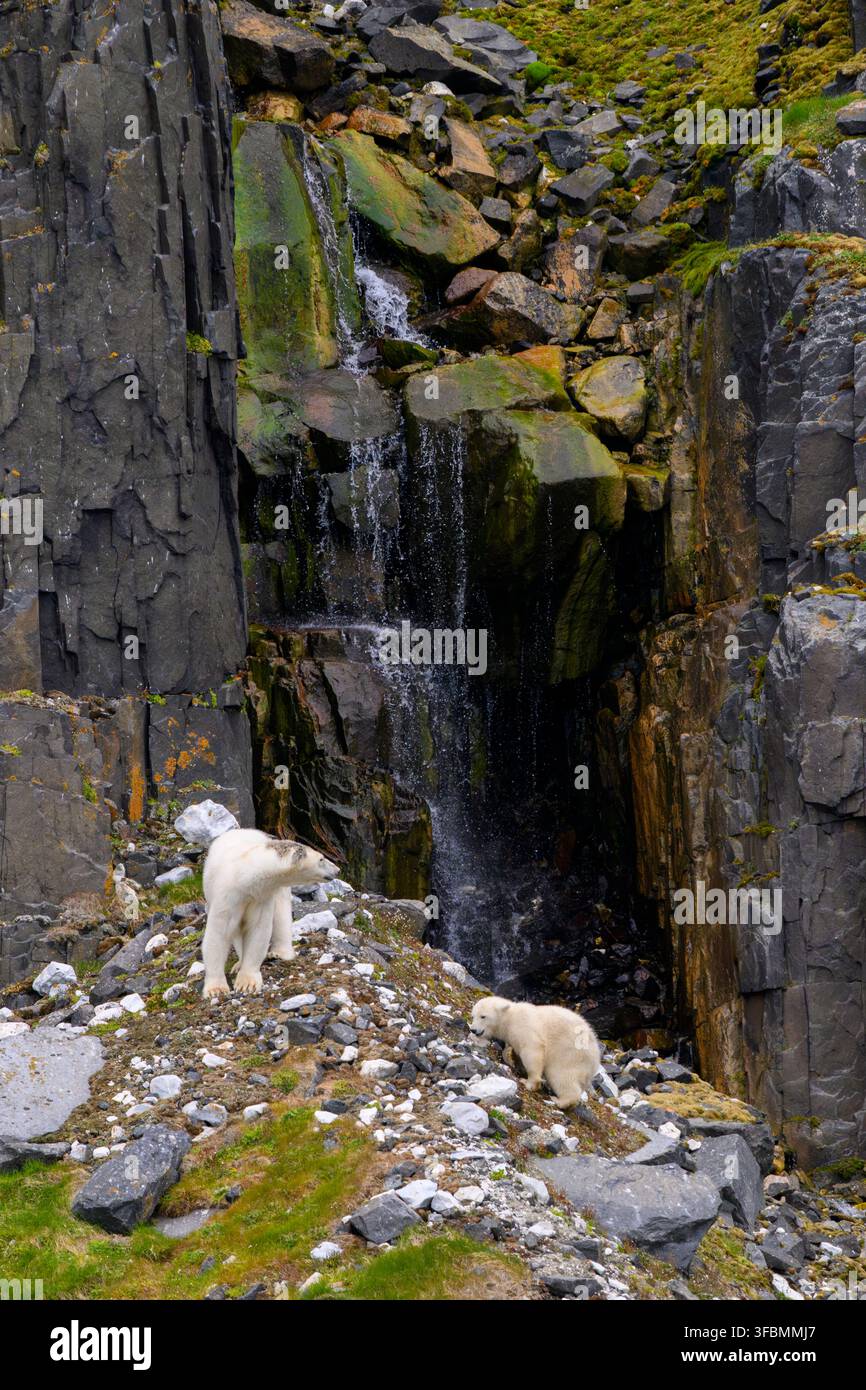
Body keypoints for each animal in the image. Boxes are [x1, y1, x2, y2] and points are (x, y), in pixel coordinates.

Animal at [201, 827, 339, 999]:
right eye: (321, 859)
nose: (337, 870)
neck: (244, 874)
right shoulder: (227, 897)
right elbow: (218, 934)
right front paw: (216, 989)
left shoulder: (262, 896)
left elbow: (258, 930)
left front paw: (247, 983)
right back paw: (239, 963)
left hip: (279, 892)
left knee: (281, 916)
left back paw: (278, 953)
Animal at [469, 995, 601, 1110]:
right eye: (473, 1016)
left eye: (483, 1016)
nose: (473, 1030)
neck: (509, 1017)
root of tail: (596, 1059)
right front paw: (513, 1062)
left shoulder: (524, 1028)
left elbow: (532, 1051)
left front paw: (529, 1083)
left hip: (570, 1056)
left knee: (561, 1076)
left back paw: (559, 1100)